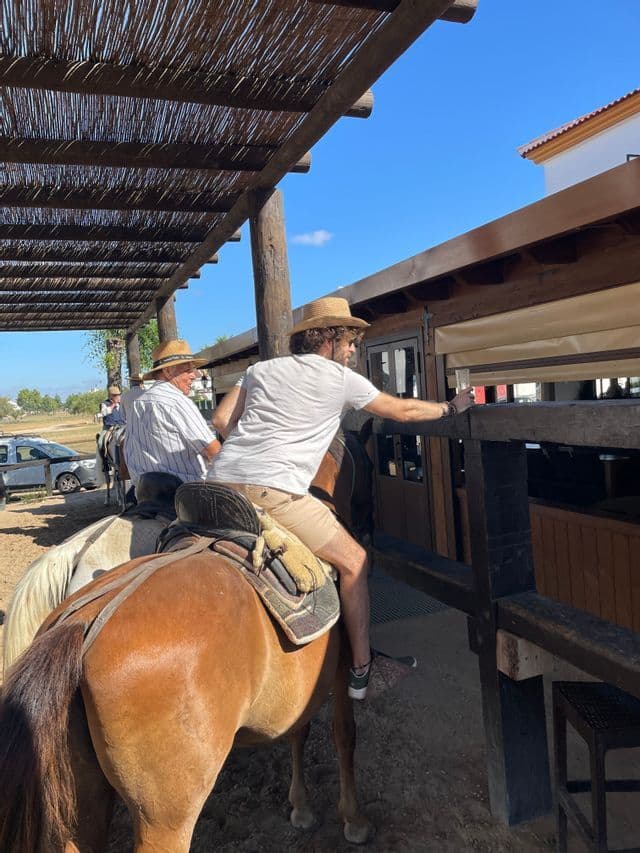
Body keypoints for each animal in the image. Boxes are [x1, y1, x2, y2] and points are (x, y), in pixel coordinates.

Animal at [0, 423, 374, 852]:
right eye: (366, 464)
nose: (369, 525)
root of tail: (80, 627)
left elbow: (301, 729)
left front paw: (301, 807)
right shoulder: (340, 667)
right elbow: (344, 733)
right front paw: (353, 819)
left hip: (81, 805)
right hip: (166, 818)